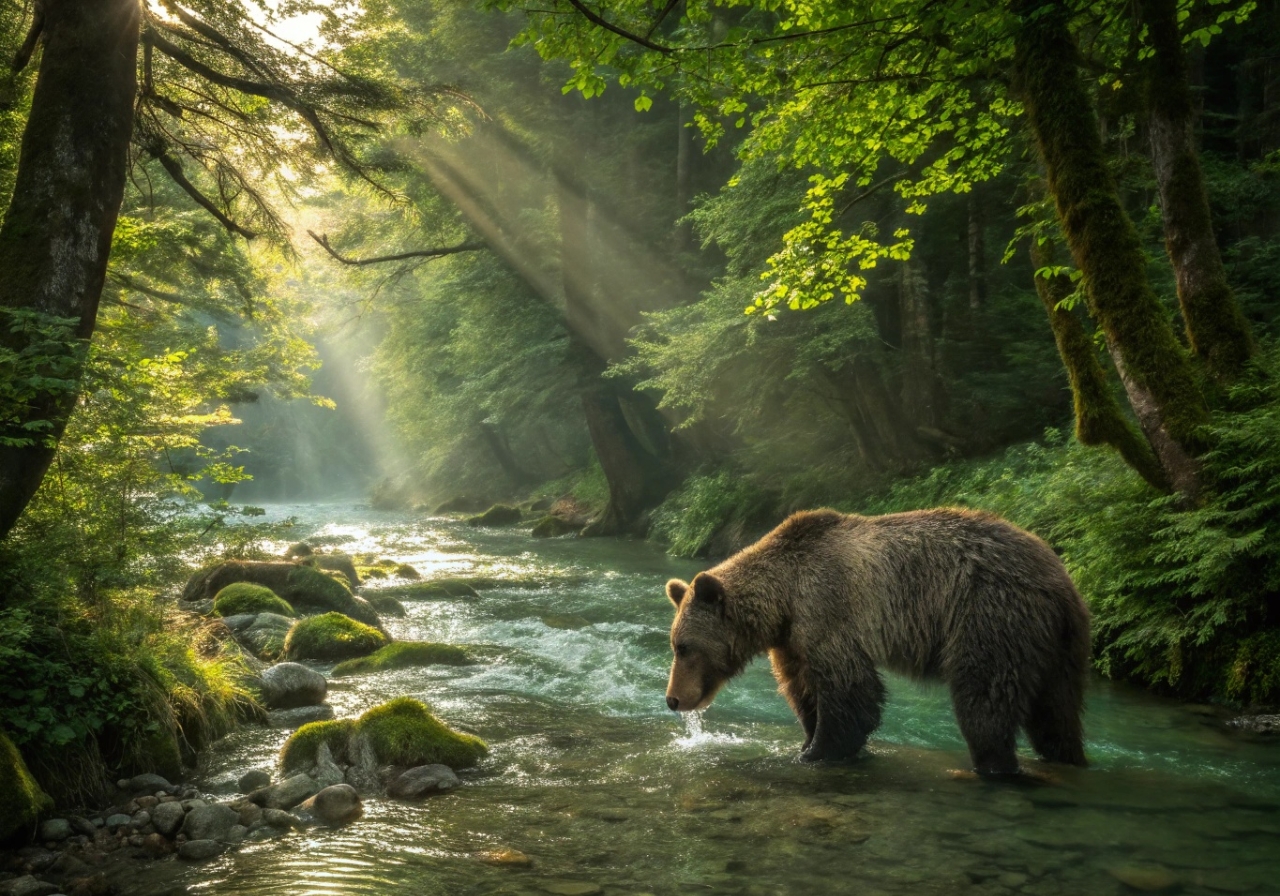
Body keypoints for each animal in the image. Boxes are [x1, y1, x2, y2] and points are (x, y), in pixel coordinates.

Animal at [663, 507, 1090, 774]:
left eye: (683, 647)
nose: (672, 699)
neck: (783, 598)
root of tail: (1061, 577)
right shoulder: (793, 638)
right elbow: (803, 687)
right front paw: (808, 739)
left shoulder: (827, 607)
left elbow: (851, 689)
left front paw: (819, 750)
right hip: (1057, 647)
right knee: (1056, 715)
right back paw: (1066, 757)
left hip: (989, 613)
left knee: (985, 698)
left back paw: (992, 764)